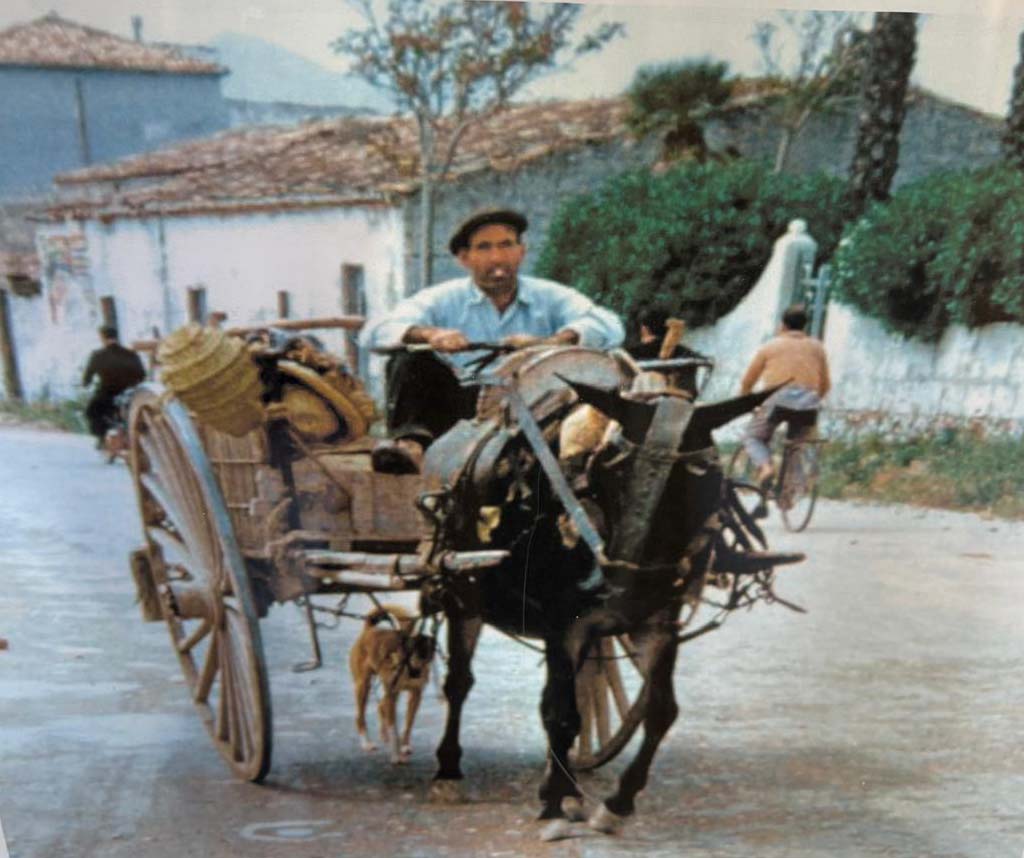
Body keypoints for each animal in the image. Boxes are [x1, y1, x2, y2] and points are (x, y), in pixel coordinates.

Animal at [348, 606, 436, 765]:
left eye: (428, 653)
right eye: (410, 651)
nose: (418, 672)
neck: (408, 669)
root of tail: (369, 630)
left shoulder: (415, 695)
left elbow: (408, 723)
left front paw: (404, 745)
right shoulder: (392, 693)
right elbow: (393, 727)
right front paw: (396, 756)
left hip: (393, 692)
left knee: (381, 706)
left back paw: (384, 735)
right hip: (363, 685)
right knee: (361, 716)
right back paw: (367, 743)